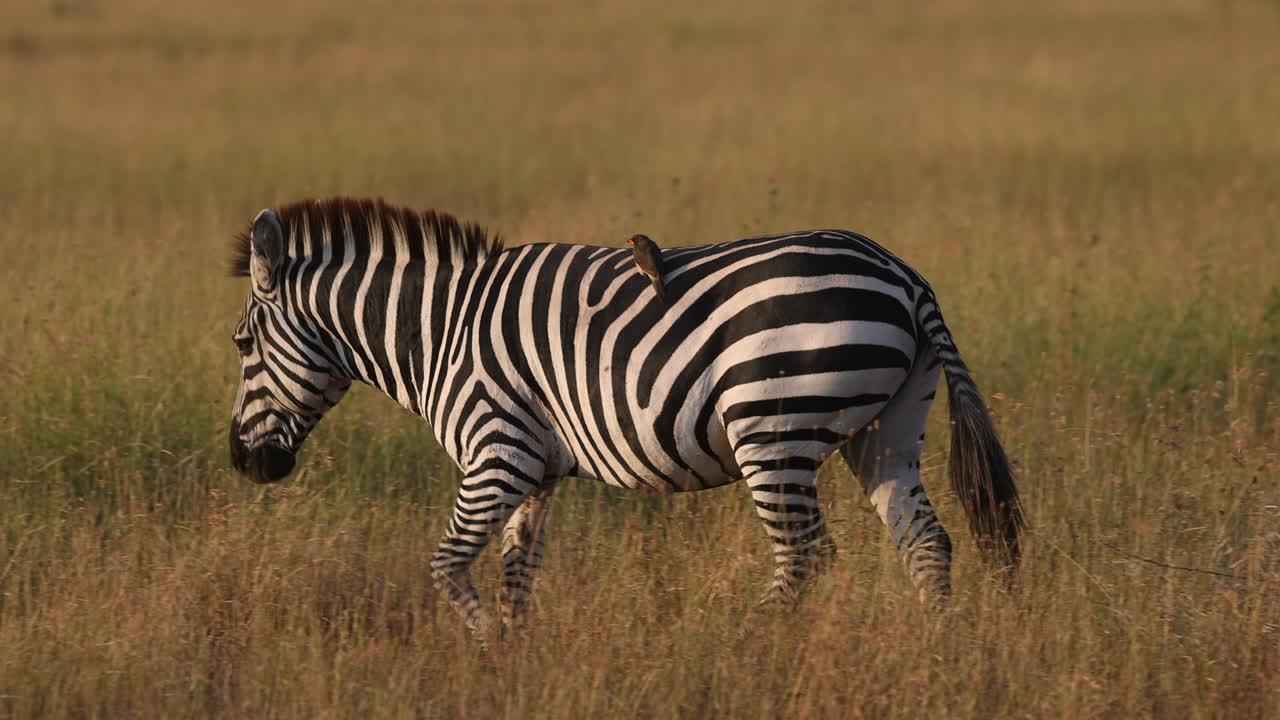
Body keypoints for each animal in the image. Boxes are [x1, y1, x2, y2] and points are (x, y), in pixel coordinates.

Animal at [227, 197, 1024, 634]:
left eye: (240, 344)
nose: (243, 463)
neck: (439, 331)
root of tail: (906, 277)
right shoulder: (535, 472)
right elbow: (518, 574)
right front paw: (517, 658)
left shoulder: (496, 454)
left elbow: (448, 565)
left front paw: (485, 650)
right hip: (884, 429)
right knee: (926, 543)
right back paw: (936, 651)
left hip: (772, 429)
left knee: (808, 555)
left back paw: (741, 642)